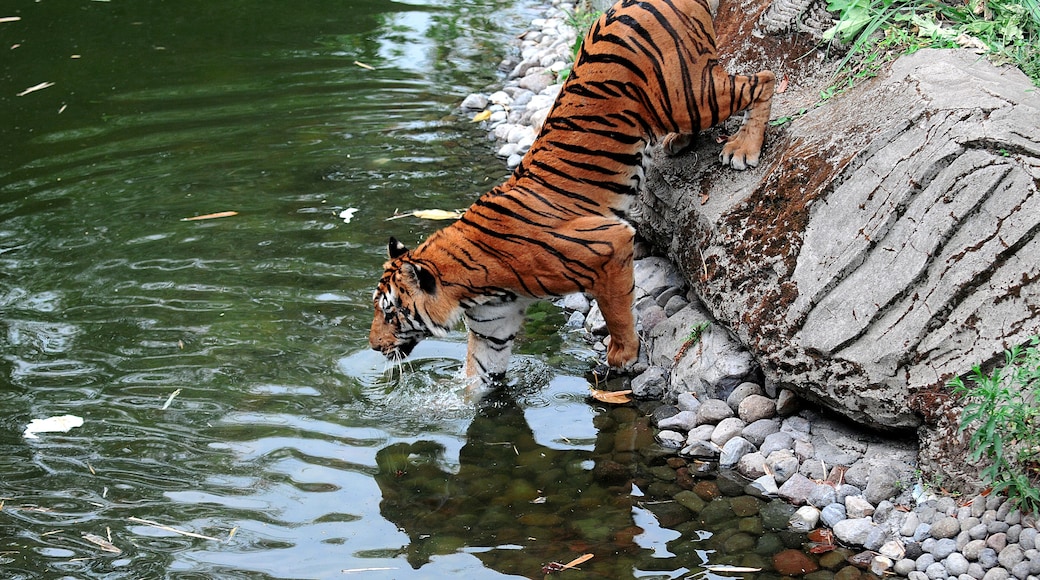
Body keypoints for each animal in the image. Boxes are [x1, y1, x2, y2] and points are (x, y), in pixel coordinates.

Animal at [370, 0, 775, 388]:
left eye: (390, 312)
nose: (373, 346)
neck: (475, 287)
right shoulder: (492, 326)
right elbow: (478, 377)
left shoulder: (609, 248)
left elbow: (615, 310)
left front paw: (621, 355)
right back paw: (678, 142)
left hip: (685, 97)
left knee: (763, 80)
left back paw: (742, 149)